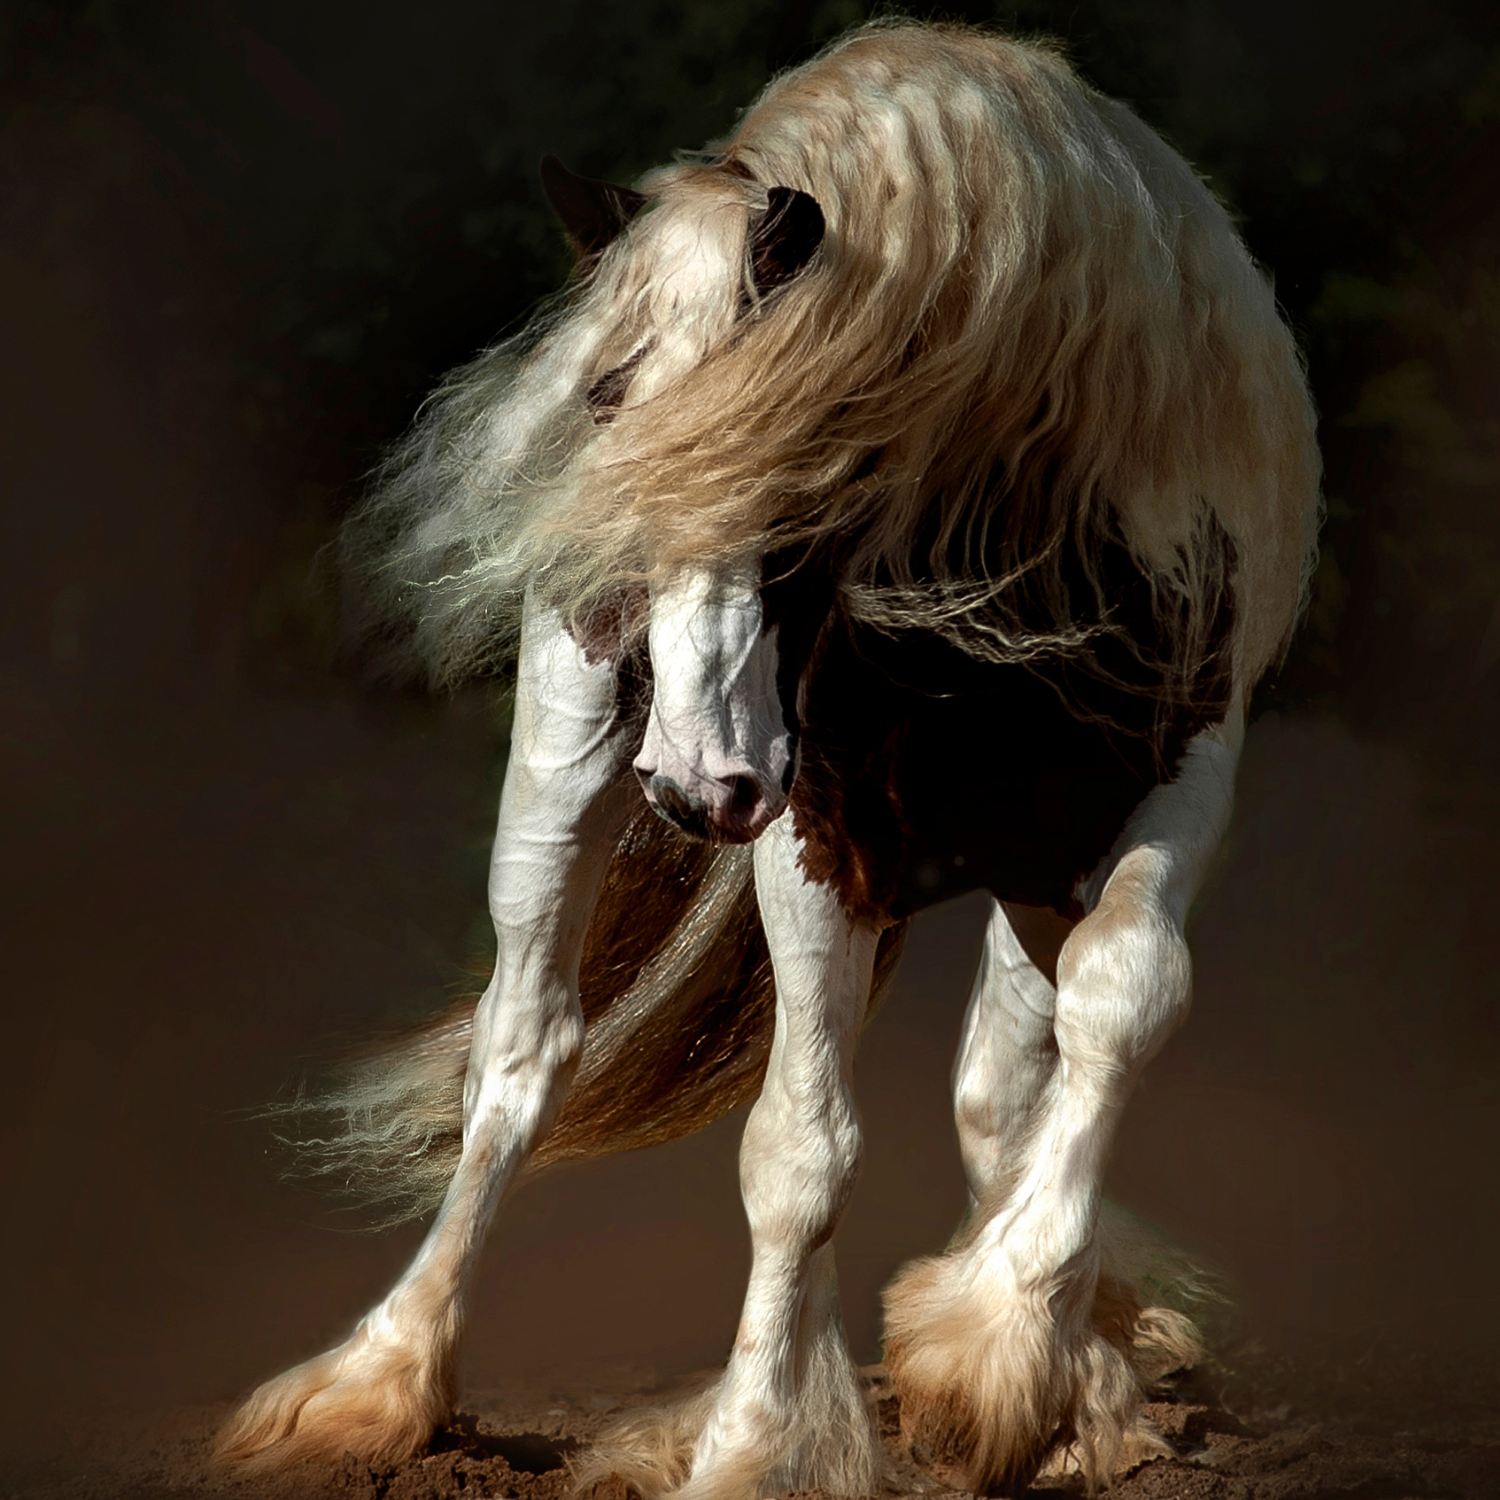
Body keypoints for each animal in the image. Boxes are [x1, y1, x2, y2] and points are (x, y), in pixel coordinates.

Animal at [218, 21, 1320, 1498]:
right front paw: (760, 1445)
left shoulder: (1175, 780)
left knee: (1002, 1086)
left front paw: (1013, 1363)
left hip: (1021, 868)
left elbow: (1117, 1005)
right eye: (613, 399)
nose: (696, 784)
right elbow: (800, 1152)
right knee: (520, 1054)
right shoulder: (819, 832)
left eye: (810, 439)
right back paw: (374, 1383)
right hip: (569, 756)